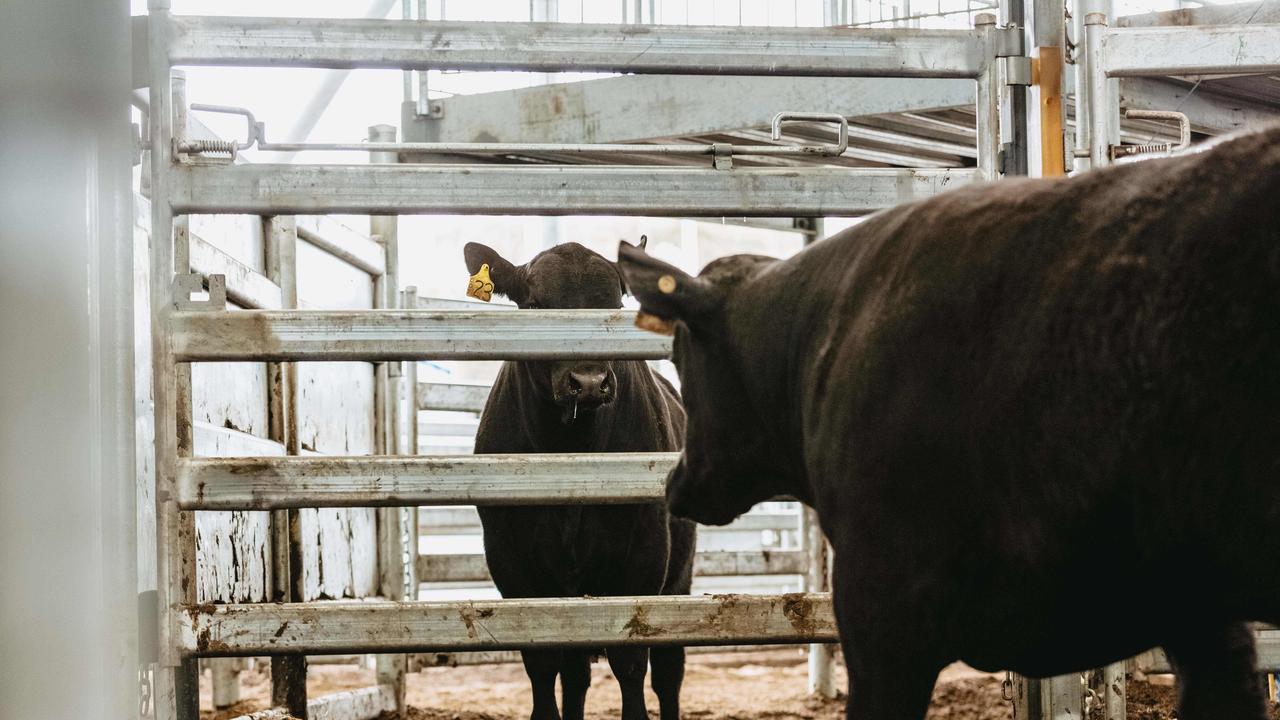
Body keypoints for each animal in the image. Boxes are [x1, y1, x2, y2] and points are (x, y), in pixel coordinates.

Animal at [463, 239, 696, 717]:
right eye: (535, 305)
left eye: (615, 304)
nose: (588, 382)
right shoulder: (509, 559)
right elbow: (541, 663)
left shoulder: (645, 555)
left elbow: (630, 662)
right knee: (574, 674)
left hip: (679, 576)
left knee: (668, 671)